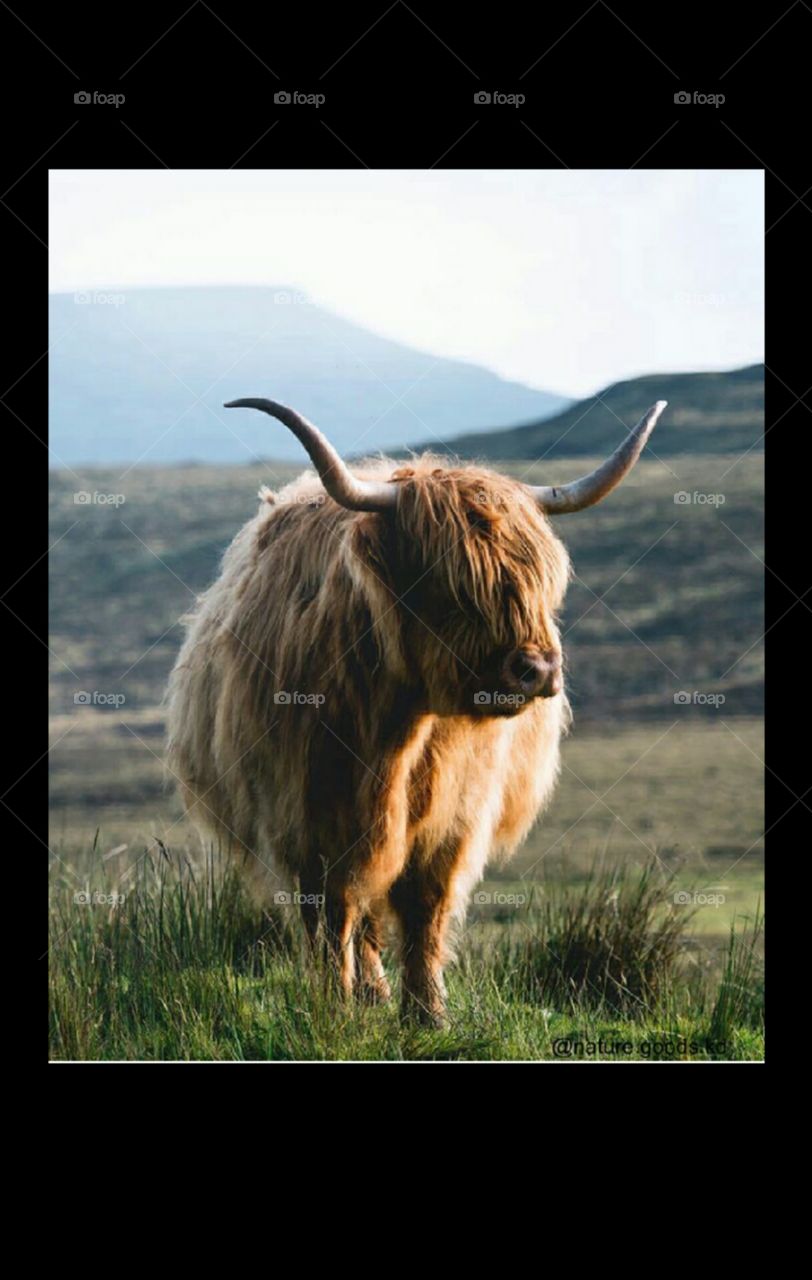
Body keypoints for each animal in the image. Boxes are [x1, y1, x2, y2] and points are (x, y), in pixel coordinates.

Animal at [166, 394, 665, 1024]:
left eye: (539, 581)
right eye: (449, 583)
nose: (538, 669)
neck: (396, 729)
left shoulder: (454, 815)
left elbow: (425, 906)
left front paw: (428, 1013)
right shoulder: (304, 816)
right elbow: (331, 913)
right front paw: (334, 1008)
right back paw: (367, 991)